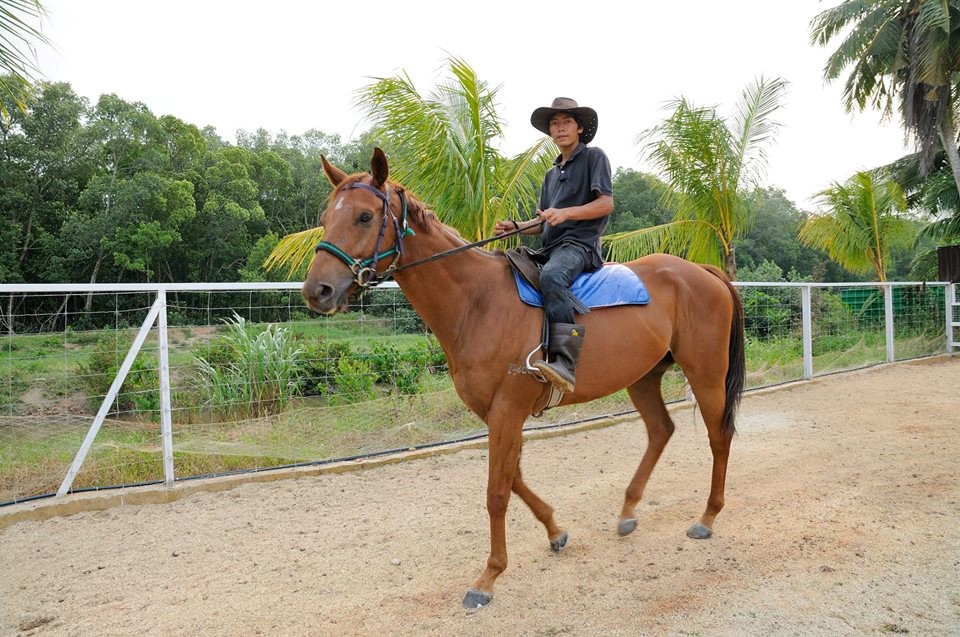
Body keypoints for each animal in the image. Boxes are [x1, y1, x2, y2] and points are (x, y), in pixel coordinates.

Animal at [304, 148, 748, 608]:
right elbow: (514, 478)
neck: (478, 302)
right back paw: (628, 512)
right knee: (661, 430)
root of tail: (702, 271)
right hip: (643, 377)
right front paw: (555, 531)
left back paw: (707, 517)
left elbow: (497, 492)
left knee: (719, 436)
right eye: (326, 216)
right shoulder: (496, 414)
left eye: (364, 216)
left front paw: (488, 578)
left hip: (706, 374)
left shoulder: (507, 410)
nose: (317, 290)